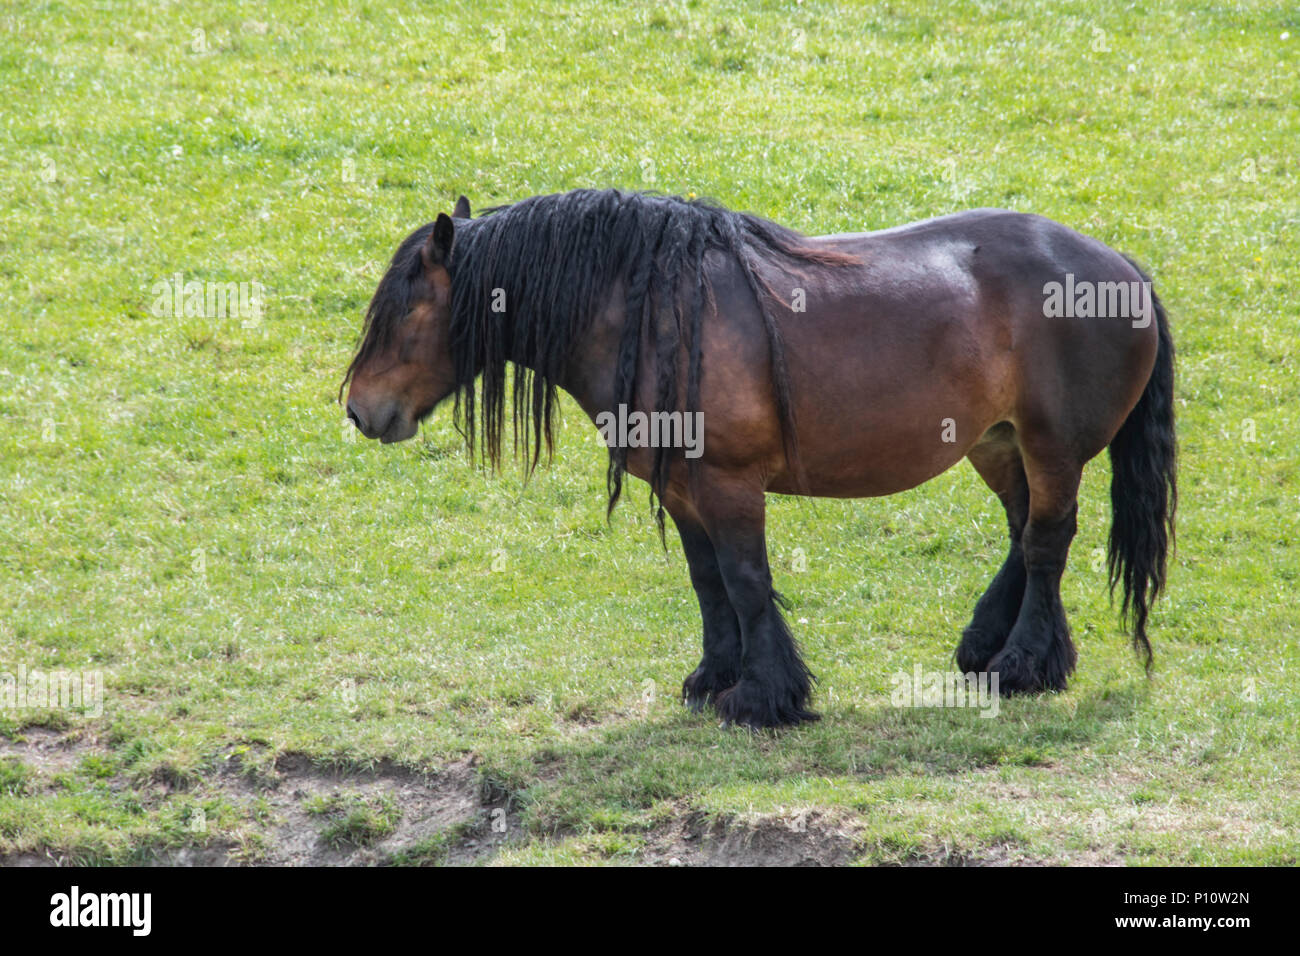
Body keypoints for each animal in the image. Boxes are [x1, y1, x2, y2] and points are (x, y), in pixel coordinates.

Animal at [340, 192, 1175, 733]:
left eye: (407, 310)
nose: (360, 409)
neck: (648, 311)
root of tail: (1122, 266)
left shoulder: (729, 483)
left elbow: (746, 581)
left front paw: (767, 695)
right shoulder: (683, 489)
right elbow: (709, 584)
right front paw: (716, 676)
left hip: (1051, 447)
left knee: (1046, 541)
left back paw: (1023, 664)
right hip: (996, 444)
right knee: (1022, 532)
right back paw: (993, 648)